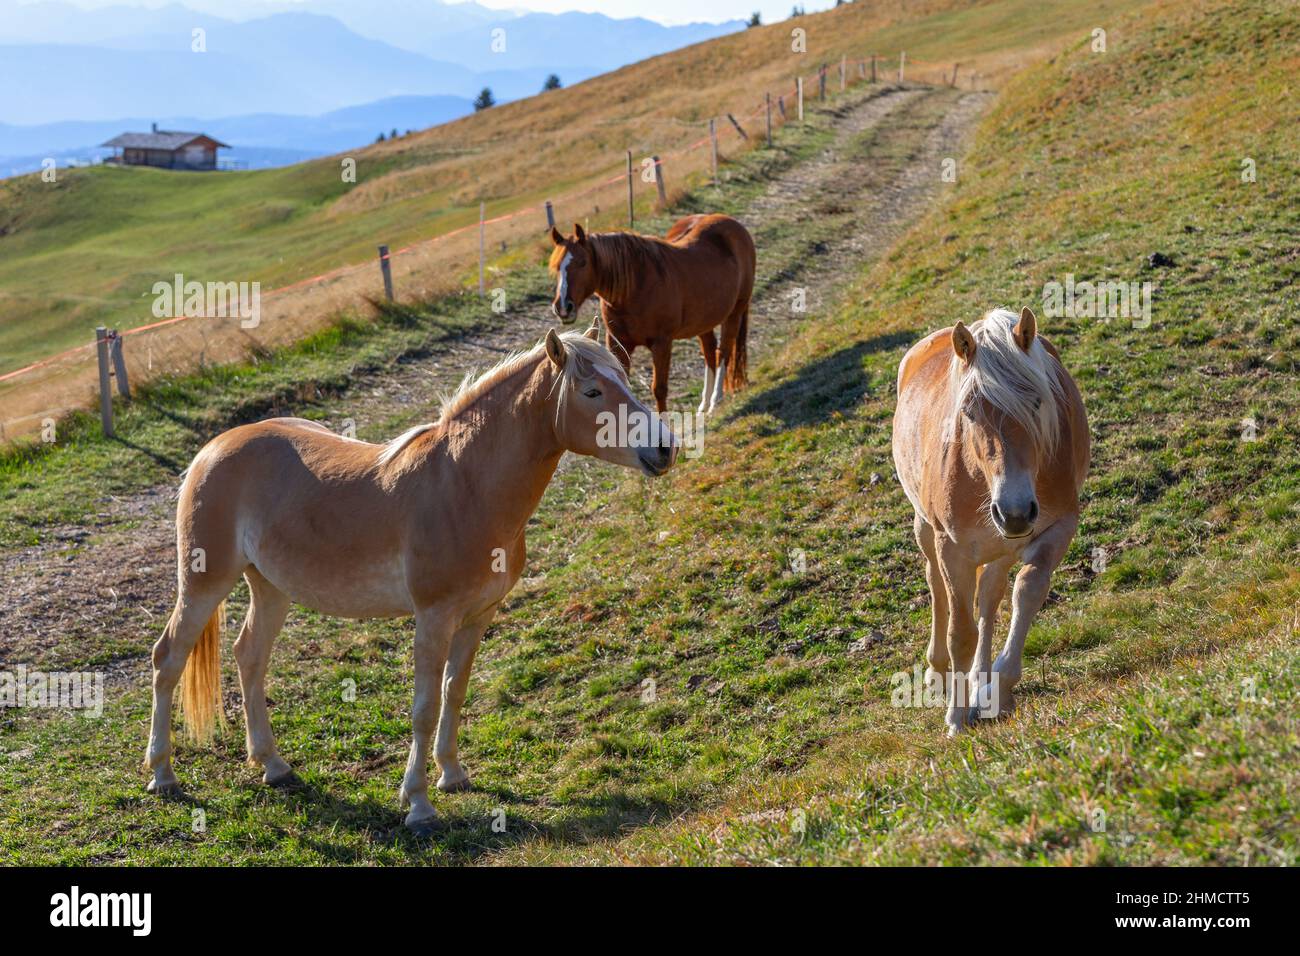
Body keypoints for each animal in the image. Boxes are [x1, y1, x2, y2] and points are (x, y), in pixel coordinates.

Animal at [144, 327, 678, 832]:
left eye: (624, 379)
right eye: (592, 391)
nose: (665, 447)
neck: (463, 486)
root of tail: (212, 450)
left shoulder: (477, 617)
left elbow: (453, 693)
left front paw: (453, 774)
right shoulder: (433, 618)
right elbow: (424, 707)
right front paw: (419, 805)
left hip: (271, 587)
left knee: (249, 656)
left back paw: (273, 765)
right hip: (205, 582)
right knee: (168, 658)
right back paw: (163, 776)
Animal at [548, 213, 756, 415]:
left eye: (583, 263)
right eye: (557, 267)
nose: (563, 307)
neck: (635, 287)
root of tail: (734, 225)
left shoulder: (662, 343)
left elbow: (659, 389)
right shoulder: (618, 342)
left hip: (735, 311)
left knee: (724, 351)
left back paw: (715, 400)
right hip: (705, 320)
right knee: (709, 352)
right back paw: (704, 403)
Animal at [892, 307, 1089, 736]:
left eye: (1037, 402)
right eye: (968, 412)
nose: (1013, 510)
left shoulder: (1057, 527)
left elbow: (1026, 593)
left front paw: (995, 688)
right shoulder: (953, 548)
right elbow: (960, 632)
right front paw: (955, 718)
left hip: (1003, 544)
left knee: (989, 597)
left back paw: (978, 681)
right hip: (926, 528)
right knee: (937, 587)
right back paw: (938, 674)